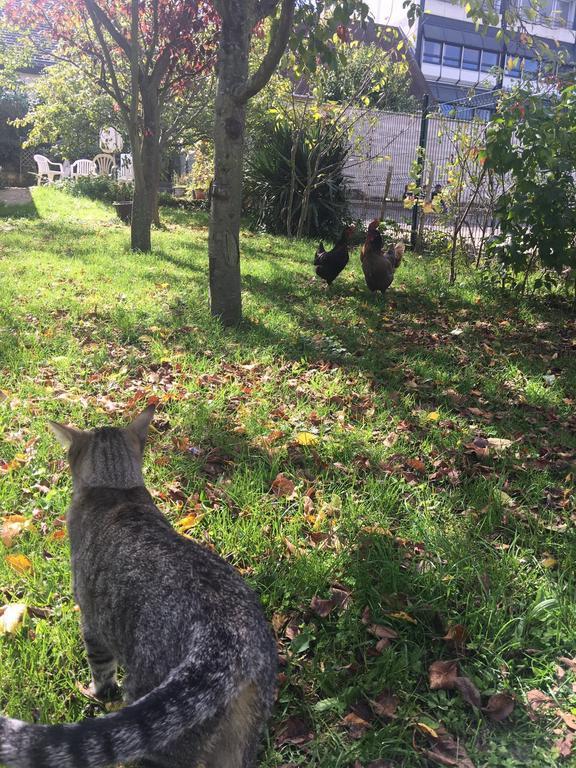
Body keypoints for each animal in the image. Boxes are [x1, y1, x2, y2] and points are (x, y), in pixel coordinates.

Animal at [0, 404, 276, 764]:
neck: (117, 490)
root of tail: (229, 640)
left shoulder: (91, 622)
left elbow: (101, 670)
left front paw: (100, 693)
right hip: (240, 740)